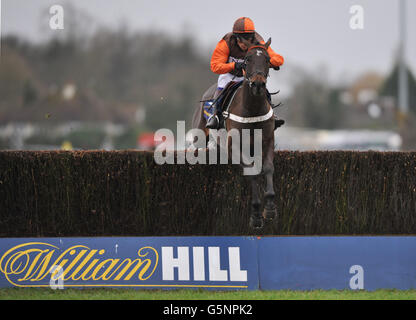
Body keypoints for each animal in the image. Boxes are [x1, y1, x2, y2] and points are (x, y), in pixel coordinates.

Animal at [193, 38, 278, 230]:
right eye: (247, 59)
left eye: (268, 59)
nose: (258, 84)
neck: (252, 109)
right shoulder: (234, 148)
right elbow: (252, 172)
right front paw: (255, 215)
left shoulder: (267, 140)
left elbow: (268, 168)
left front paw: (269, 208)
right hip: (199, 135)